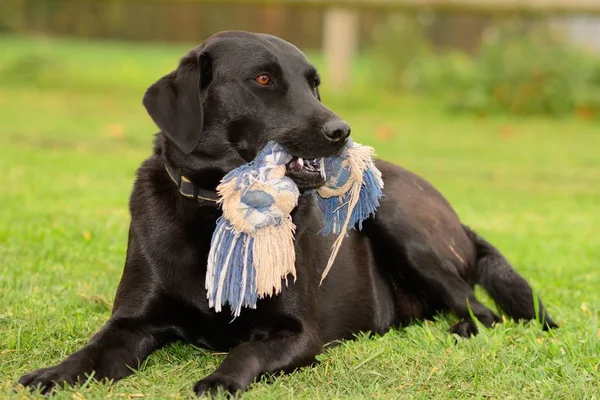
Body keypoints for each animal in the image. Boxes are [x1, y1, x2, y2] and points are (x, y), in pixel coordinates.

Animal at [16, 31, 556, 396]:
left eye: (313, 84)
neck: (217, 211)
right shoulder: (132, 323)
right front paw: (54, 373)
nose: (341, 131)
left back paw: (458, 328)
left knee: (481, 310)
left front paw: (220, 379)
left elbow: (247, 348)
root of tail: (458, 219)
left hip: (398, 220)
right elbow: (92, 349)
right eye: (263, 79)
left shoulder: (298, 333)